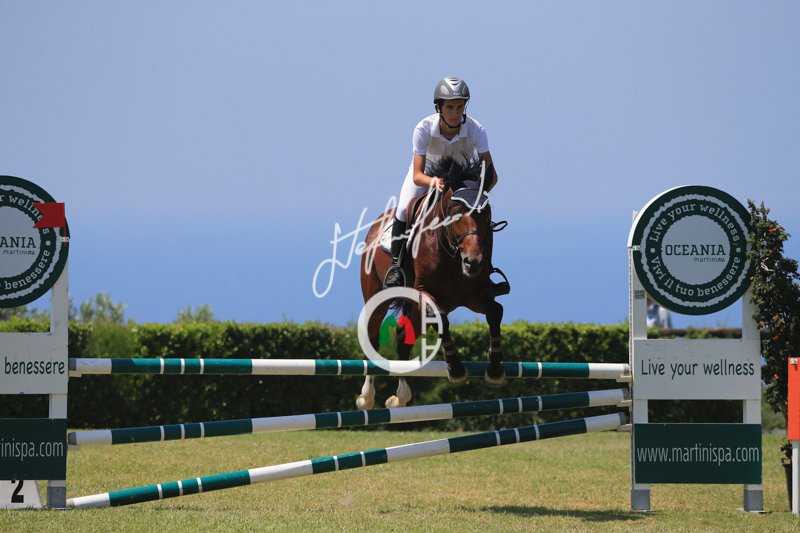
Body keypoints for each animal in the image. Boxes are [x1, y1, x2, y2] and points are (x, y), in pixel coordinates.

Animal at [356, 158, 506, 409]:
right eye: (455, 211)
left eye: (486, 212)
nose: (473, 262)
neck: (452, 252)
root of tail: (376, 224)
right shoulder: (424, 292)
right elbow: (442, 320)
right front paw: (456, 371)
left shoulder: (476, 295)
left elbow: (495, 312)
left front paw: (495, 370)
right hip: (376, 297)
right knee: (373, 338)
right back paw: (366, 398)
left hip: (416, 310)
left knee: (402, 340)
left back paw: (400, 397)